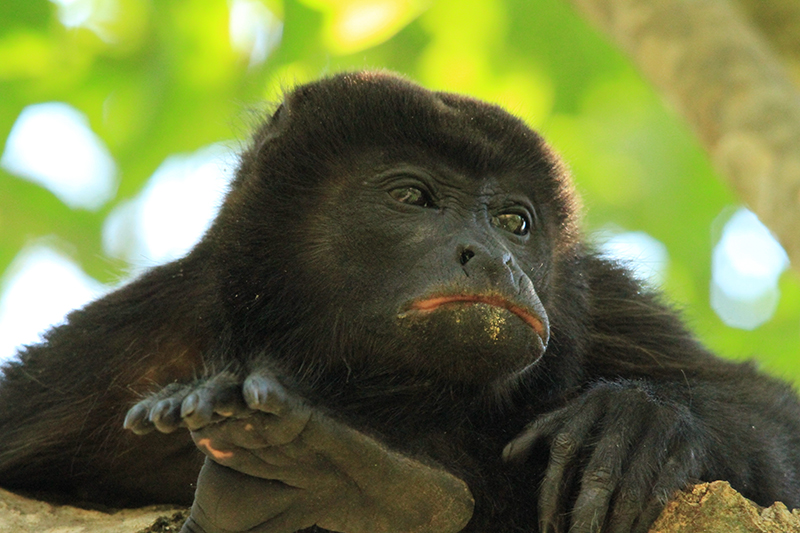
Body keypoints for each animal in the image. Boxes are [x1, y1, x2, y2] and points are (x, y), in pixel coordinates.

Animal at [1, 71, 800, 532]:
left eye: (515, 221)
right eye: (413, 197)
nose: (496, 259)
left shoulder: (590, 299)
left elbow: (769, 411)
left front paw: (644, 421)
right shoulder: (131, 340)